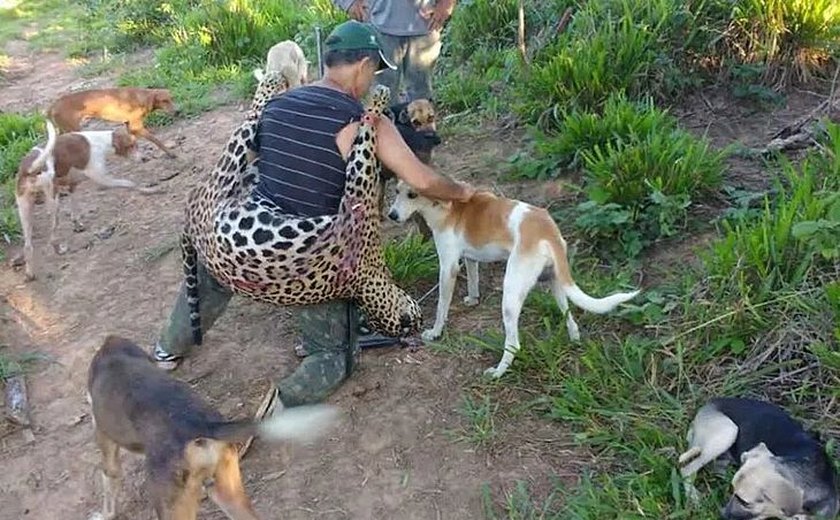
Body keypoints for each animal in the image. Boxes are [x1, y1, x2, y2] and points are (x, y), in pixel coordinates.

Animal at [47, 87, 179, 157]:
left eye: (172, 98)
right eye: (164, 101)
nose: (178, 111)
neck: (142, 98)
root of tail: (53, 105)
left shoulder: (129, 126)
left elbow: (134, 143)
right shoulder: (136, 127)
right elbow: (157, 140)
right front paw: (170, 153)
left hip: (65, 130)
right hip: (73, 130)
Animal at [680, 396, 836, 516]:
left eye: (744, 502)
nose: (722, 514)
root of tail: (708, 404)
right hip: (727, 432)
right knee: (686, 469)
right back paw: (693, 497)